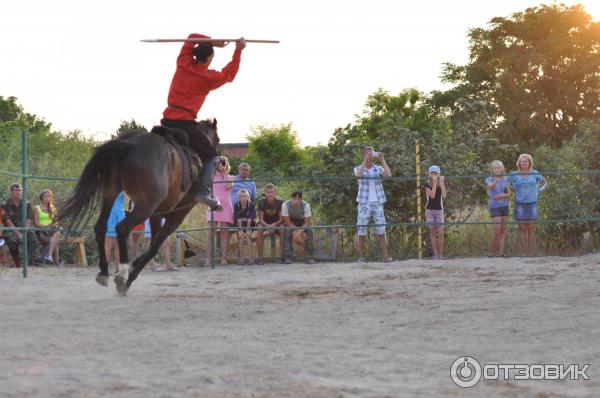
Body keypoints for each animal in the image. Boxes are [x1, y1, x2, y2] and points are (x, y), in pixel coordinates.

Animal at [57, 118, 218, 296]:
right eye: (217, 139)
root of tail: (129, 143)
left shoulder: (156, 214)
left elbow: (153, 242)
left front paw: (136, 262)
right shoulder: (177, 216)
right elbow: (154, 246)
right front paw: (131, 275)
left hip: (111, 194)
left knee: (101, 227)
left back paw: (105, 272)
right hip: (145, 205)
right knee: (122, 228)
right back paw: (122, 275)